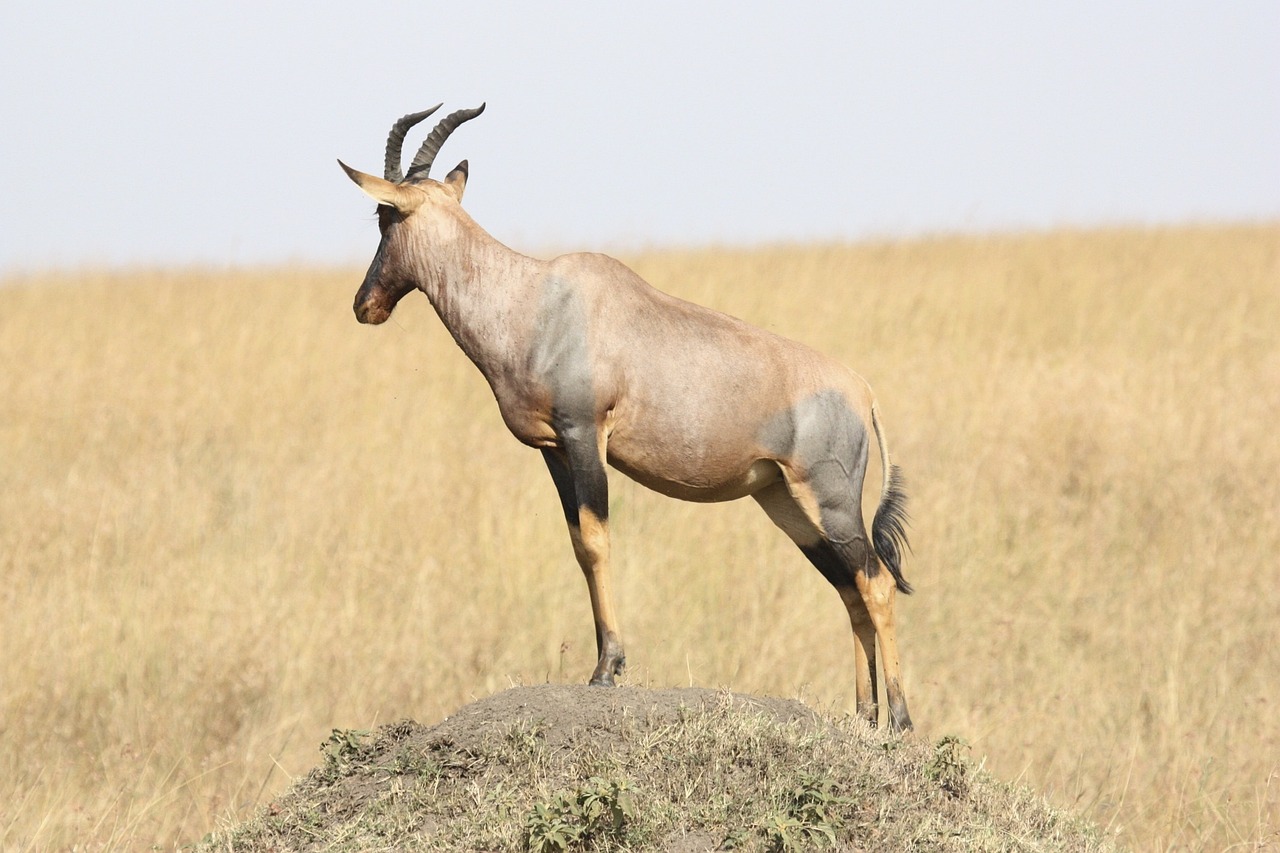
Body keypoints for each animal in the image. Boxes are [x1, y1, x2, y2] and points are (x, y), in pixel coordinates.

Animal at [340, 99, 916, 722]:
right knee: (849, 588)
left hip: (830, 501)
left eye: (383, 216)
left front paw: (607, 669)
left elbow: (597, 541)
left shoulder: (584, 433)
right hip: (785, 502)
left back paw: (899, 720)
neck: (534, 298)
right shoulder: (554, 450)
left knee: (876, 583)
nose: (364, 304)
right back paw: (863, 717)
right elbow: (578, 544)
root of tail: (863, 392)